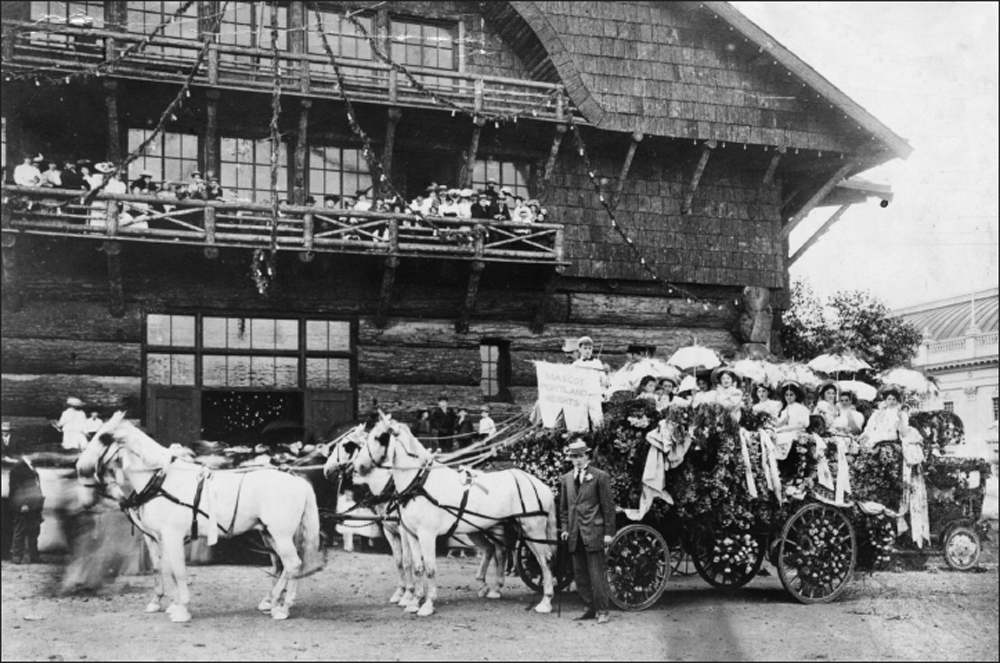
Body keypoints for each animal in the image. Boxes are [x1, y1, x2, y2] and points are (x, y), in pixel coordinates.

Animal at [81, 412, 328, 624]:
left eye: (104, 438)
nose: (81, 469)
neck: (162, 480)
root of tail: (298, 481)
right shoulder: (157, 538)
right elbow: (163, 569)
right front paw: (165, 603)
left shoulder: (172, 537)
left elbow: (179, 571)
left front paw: (181, 610)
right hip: (270, 535)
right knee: (285, 565)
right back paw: (275, 602)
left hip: (281, 534)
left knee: (293, 564)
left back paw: (281, 607)